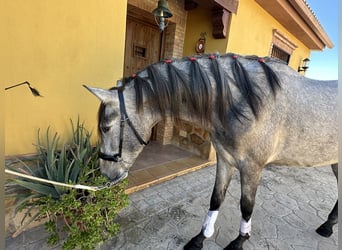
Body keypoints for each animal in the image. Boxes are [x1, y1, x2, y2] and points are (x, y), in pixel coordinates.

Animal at [83, 52, 336, 248]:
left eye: (106, 127)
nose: (105, 174)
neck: (246, 100)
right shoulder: (225, 160)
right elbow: (216, 198)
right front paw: (200, 238)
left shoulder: (252, 168)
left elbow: (246, 205)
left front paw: (240, 241)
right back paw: (327, 226)